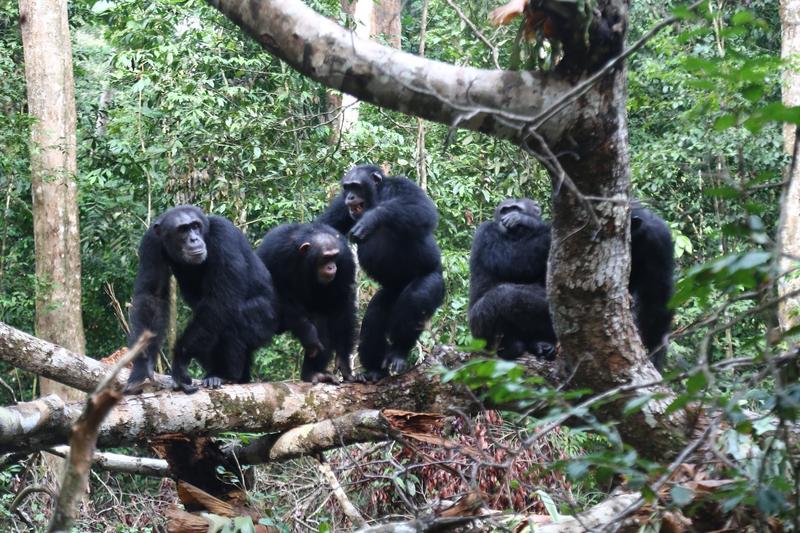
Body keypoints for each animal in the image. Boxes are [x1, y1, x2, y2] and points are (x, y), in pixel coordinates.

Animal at [123, 206, 276, 392]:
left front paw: (179, 361)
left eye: (195, 226)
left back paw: (225, 376)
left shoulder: (224, 235)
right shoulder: (151, 242)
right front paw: (142, 367)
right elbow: (152, 296)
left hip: (265, 319)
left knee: (233, 321)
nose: (194, 239)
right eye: (183, 229)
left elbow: (219, 299)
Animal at [256, 221, 356, 382]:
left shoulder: (344, 261)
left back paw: (313, 373)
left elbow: (341, 306)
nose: (331, 266)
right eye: (325, 257)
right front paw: (308, 334)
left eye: (334, 257)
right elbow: (276, 291)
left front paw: (343, 362)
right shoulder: (275, 251)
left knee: (320, 318)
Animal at [318, 164, 444, 380]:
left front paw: (370, 219)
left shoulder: (402, 185)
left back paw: (399, 352)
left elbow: (421, 206)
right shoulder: (340, 207)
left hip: (435, 280)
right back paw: (375, 370)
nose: (350, 196)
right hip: (389, 293)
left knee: (417, 298)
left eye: (356, 186)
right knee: (374, 317)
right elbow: (323, 227)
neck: (375, 197)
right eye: (347, 187)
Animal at [468, 197, 556, 360]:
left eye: (516, 208)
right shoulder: (486, 232)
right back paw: (510, 347)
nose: (506, 218)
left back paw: (542, 343)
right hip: (477, 332)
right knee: (506, 295)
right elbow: (514, 258)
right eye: (505, 210)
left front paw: (526, 220)